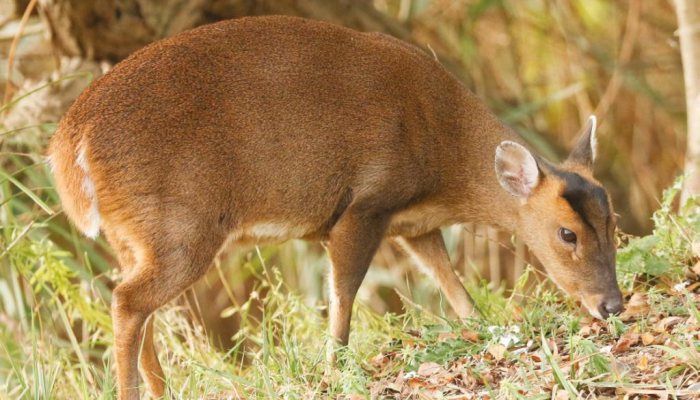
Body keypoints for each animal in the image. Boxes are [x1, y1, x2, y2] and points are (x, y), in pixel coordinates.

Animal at [48, 15, 624, 399]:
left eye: (612, 221)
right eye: (567, 234)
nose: (612, 305)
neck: (443, 154)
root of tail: (70, 145)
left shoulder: (414, 224)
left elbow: (452, 285)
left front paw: (491, 331)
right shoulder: (365, 204)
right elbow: (344, 292)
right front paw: (335, 368)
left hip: (137, 235)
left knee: (136, 303)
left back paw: (159, 389)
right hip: (181, 228)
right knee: (127, 301)